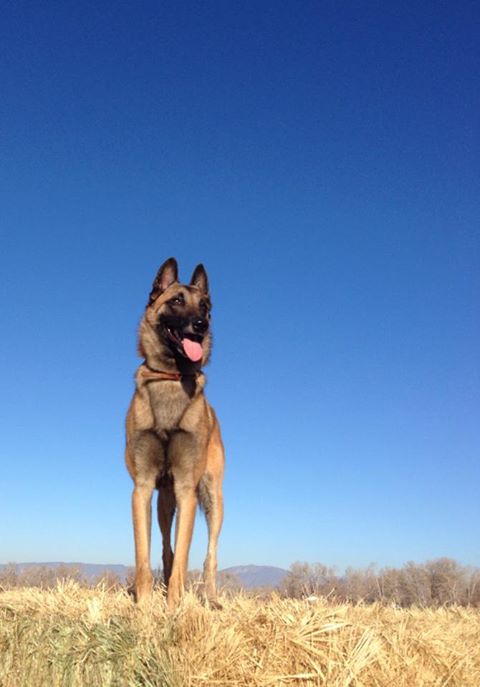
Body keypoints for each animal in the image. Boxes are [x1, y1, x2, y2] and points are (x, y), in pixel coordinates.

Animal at [125, 258, 225, 608]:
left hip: (212, 498)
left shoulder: (187, 490)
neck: (171, 375)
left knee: (210, 554)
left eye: (205, 305)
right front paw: (143, 605)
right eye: (177, 300)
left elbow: (183, 555)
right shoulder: (142, 488)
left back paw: (210, 597)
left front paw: (174, 606)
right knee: (166, 548)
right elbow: (144, 554)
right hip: (163, 504)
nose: (201, 325)